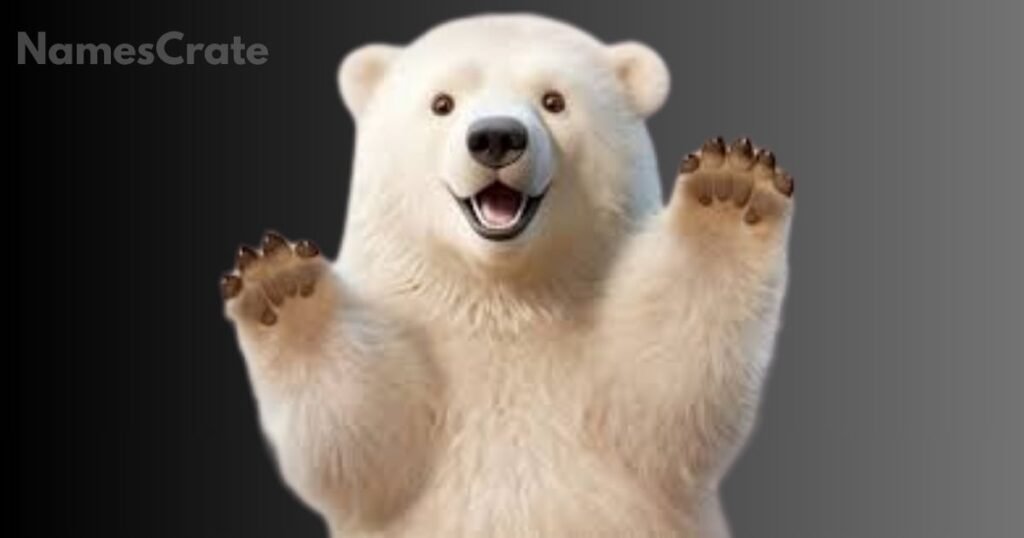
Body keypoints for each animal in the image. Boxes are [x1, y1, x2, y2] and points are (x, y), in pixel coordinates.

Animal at [221, 13, 794, 538]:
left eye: (554, 100)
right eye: (442, 103)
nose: (496, 137)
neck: (504, 295)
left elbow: (664, 396)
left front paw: (731, 193)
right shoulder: (412, 330)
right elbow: (361, 439)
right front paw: (281, 286)